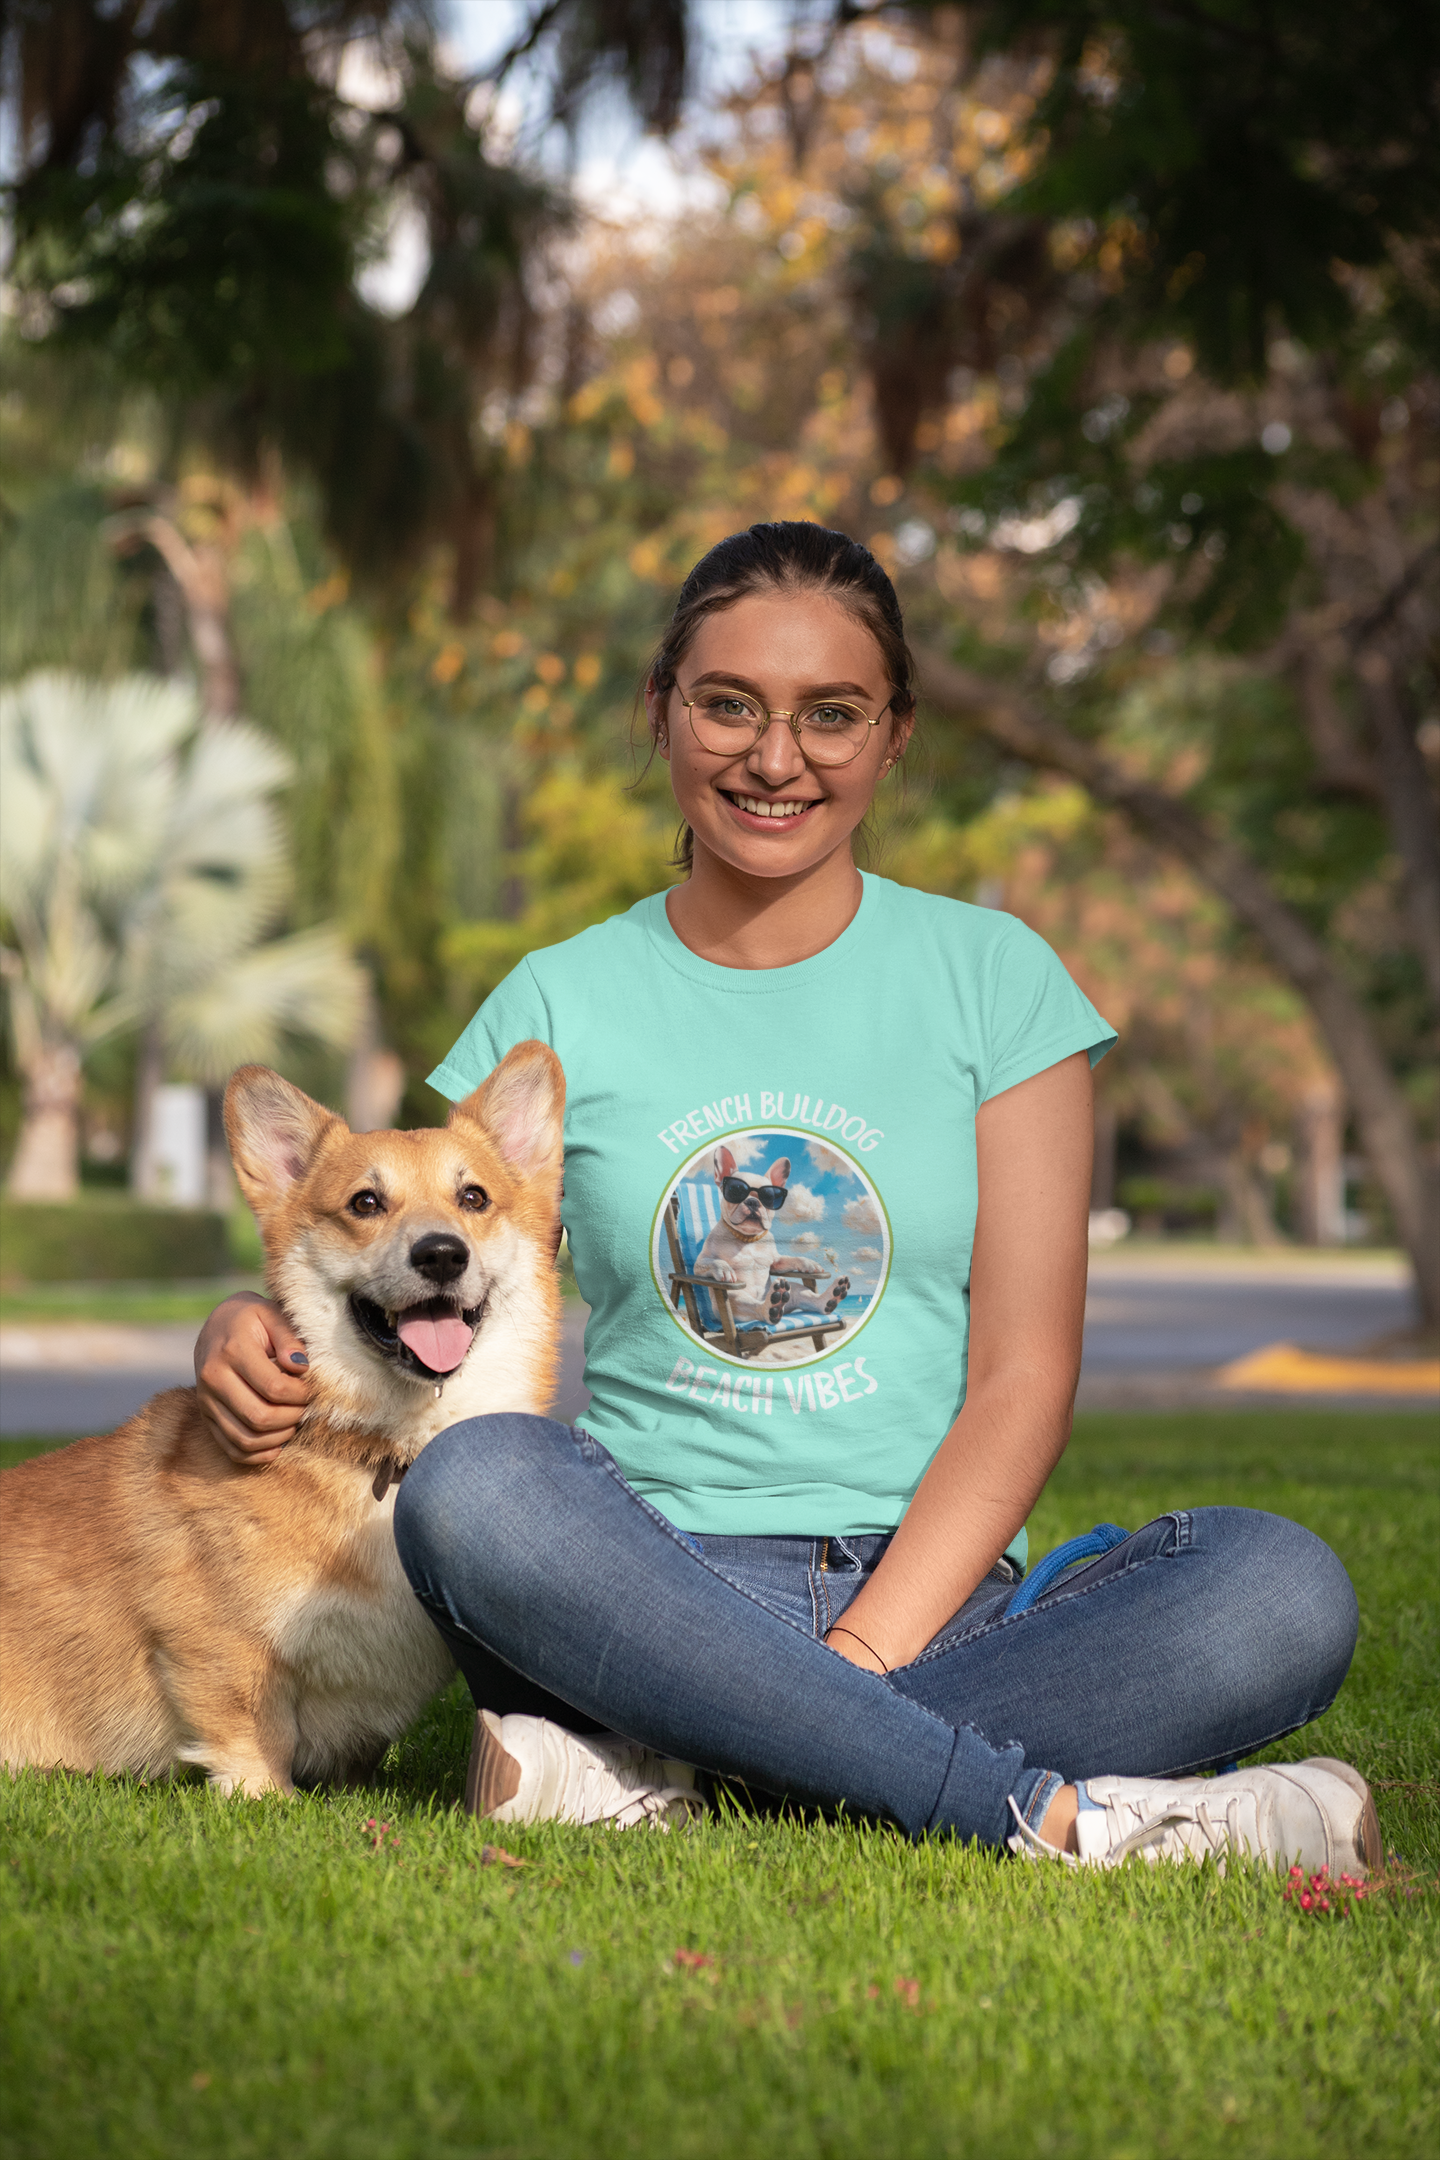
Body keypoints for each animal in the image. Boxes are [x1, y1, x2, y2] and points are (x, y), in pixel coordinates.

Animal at [0, 1036, 561, 1797]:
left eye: (473, 1198)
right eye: (365, 1202)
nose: (442, 1253)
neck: (383, 1449)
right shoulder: (220, 1648)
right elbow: (252, 1730)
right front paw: (266, 1796)